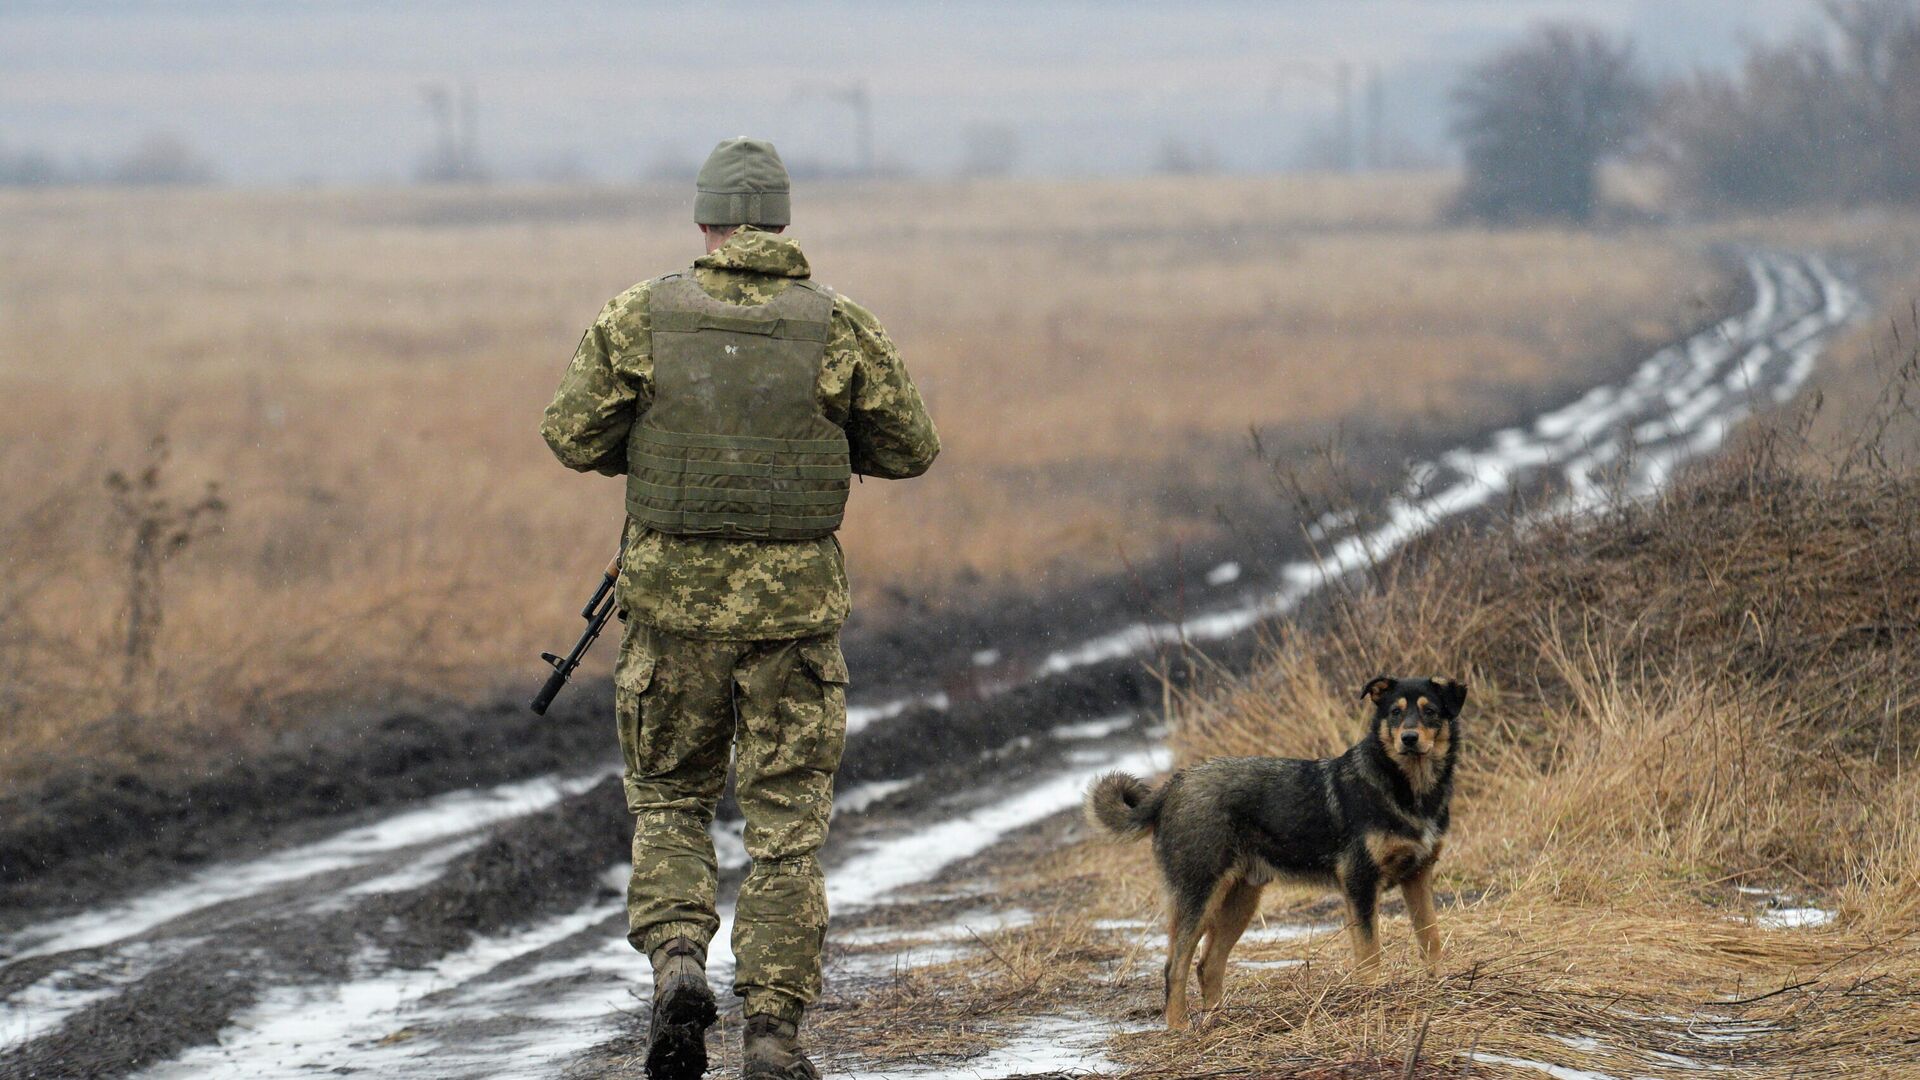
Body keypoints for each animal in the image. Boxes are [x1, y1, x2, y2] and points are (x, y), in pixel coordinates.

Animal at [1082, 672, 1466, 1022]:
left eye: (1430, 711)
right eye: (1395, 712)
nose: (1409, 738)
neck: (1408, 788)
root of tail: (1173, 785)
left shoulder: (1418, 876)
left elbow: (1431, 938)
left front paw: (1438, 984)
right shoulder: (1360, 883)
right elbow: (1370, 953)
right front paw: (1374, 999)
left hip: (1240, 900)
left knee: (1208, 964)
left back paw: (1217, 1023)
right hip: (1200, 896)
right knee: (1174, 966)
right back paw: (1180, 1031)